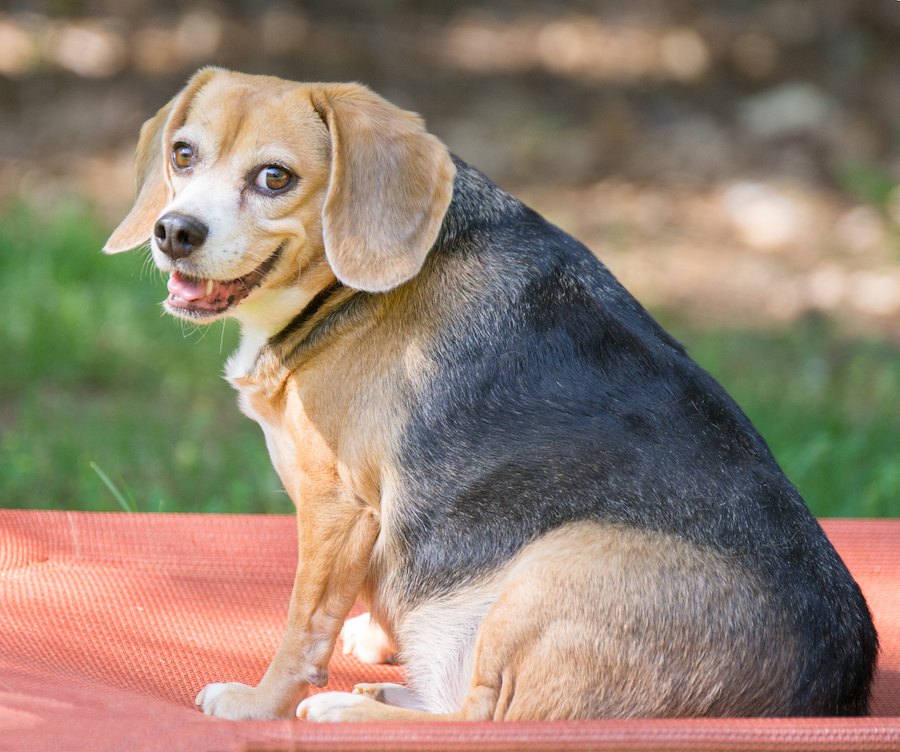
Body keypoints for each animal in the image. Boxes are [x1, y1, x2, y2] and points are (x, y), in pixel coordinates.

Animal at [102, 70, 876, 724]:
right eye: (182, 155)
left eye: (274, 177)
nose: (175, 231)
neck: (337, 293)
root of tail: (838, 680)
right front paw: (378, 636)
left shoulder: (335, 508)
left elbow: (302, 627)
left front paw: (259, 704)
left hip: (552, 565)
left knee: (481, 719)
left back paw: (353, 709)